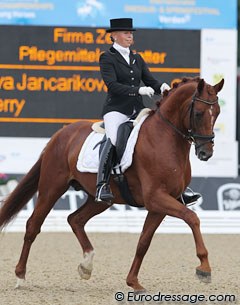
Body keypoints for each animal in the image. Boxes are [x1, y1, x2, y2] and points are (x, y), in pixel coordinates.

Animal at [0, 76, 224, 290]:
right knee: (33, 225)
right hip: (52, 187)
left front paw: (133, 282)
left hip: (99, 199)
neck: (164, 138)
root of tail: (61, 134)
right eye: (199, 113)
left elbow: (144, 242)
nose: (206, 153)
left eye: (218, 113)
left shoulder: (160, 205)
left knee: (75, 219)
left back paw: (86, 265)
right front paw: (204, 268)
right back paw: (20, 277)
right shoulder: (156, 198)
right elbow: (192, 218)